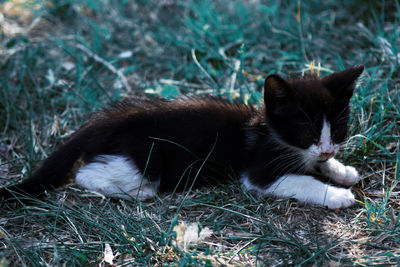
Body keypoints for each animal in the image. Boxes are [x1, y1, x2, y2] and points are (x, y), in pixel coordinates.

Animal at [0, 65, 366, 209]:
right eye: (306, 130)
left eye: (338, 130)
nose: (327, 147)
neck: (268, 131)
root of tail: (104, 121)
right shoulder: (258, 171)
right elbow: (300, 180)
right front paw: (337, 195)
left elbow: (316, 165)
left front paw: (341, 170)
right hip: (146, 157)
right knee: (86, 173)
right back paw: (137, 192)